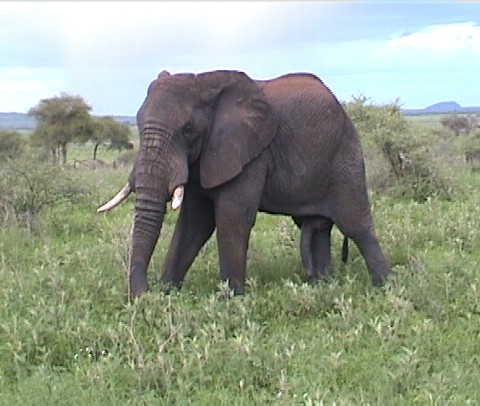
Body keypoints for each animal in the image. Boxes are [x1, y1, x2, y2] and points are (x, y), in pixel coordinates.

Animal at [98, 70, 391, 297]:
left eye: (188, 129)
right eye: (137, 123)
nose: (144, 294)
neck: (204, 82)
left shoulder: (251, 155)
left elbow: (231, 216)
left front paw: (232, 300)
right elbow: (194, 223)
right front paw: (168, 292)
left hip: (346, 157)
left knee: (356, 224)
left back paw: (385, 288)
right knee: (318, 227)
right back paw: (325, 285)